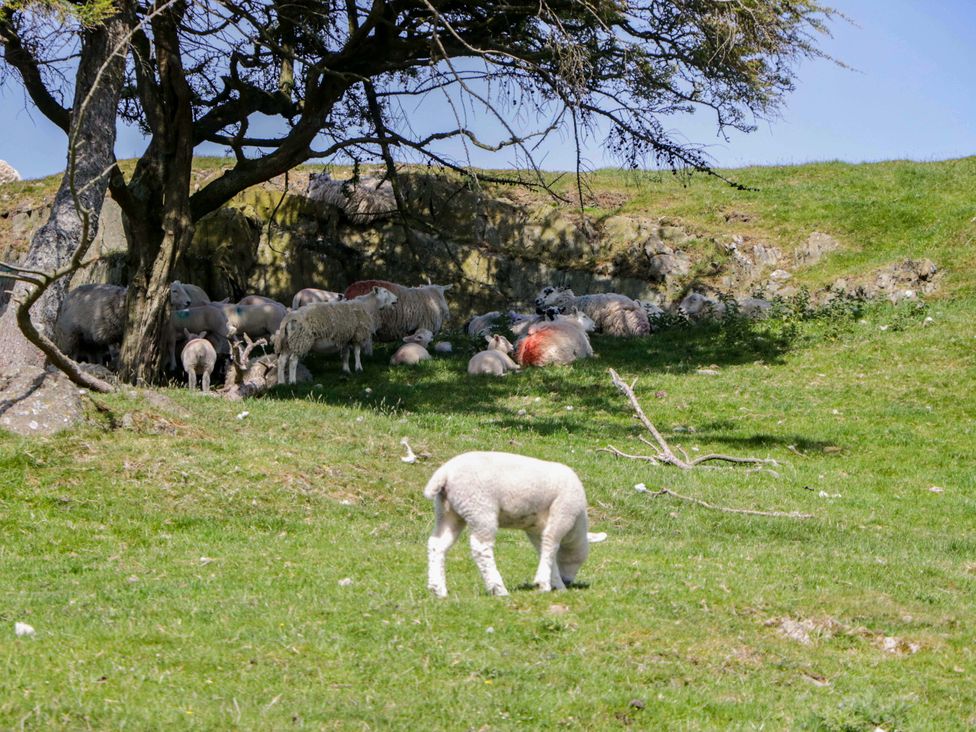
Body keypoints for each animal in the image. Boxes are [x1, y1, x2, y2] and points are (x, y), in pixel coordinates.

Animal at [424, 451, 595, 597]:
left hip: (448, 510)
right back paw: (499, 589)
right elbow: (550, 545)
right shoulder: (563, 512)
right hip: (479, 507)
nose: (568, 581)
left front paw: (556, 583)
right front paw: (546, 584)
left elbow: (544, 552)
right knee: (481, 548)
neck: (576, 526)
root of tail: (445, 473)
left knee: (437, 544)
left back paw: (437, 589)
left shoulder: (535, 528)